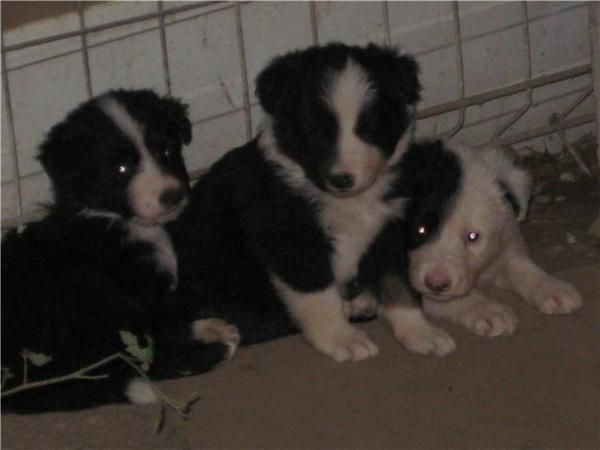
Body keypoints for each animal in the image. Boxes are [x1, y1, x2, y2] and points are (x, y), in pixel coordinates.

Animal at [1, 89, 239, 414]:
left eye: (167, 151)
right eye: (121, 168)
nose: (173, 196)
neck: (114, 219)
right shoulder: (140, 291)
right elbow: (157, 330)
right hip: (87, 292)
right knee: (126, 362)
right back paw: (213, 349)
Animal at [170, 43, 422, 362]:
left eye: (370, 129)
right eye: (315, 131)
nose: (342, 179)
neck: (347, 201)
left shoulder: (389, 227)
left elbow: (398, 285)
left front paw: (422, 332)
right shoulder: (292, 240)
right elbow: (318, 295)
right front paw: (342, 338)